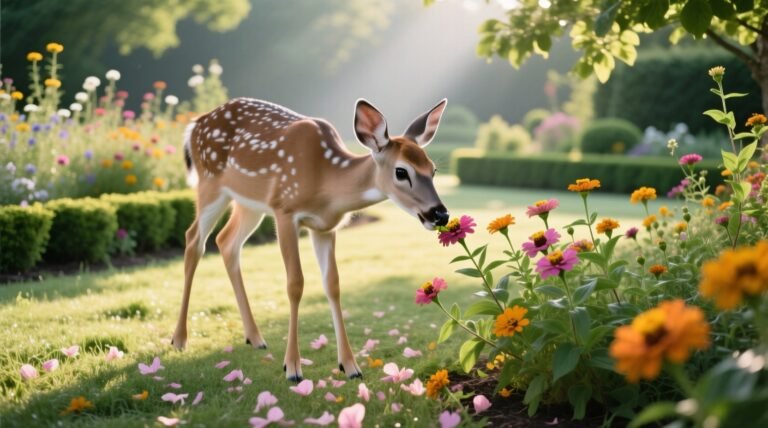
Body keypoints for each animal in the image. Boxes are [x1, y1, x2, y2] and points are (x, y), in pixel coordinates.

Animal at [171, 97, 450, 382]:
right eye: (401, 172)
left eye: (433, 169)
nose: (440, 214)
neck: (326, 183)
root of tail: (195, 124)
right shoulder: (284, 211)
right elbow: (295, 284)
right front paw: (292, 367)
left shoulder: (324, 227)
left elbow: (333, 285)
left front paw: (350, 366)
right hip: (210, 184)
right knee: (193, 240)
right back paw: (179, 339)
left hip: (249, 203)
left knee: (226, 241)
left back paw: (255, 338)